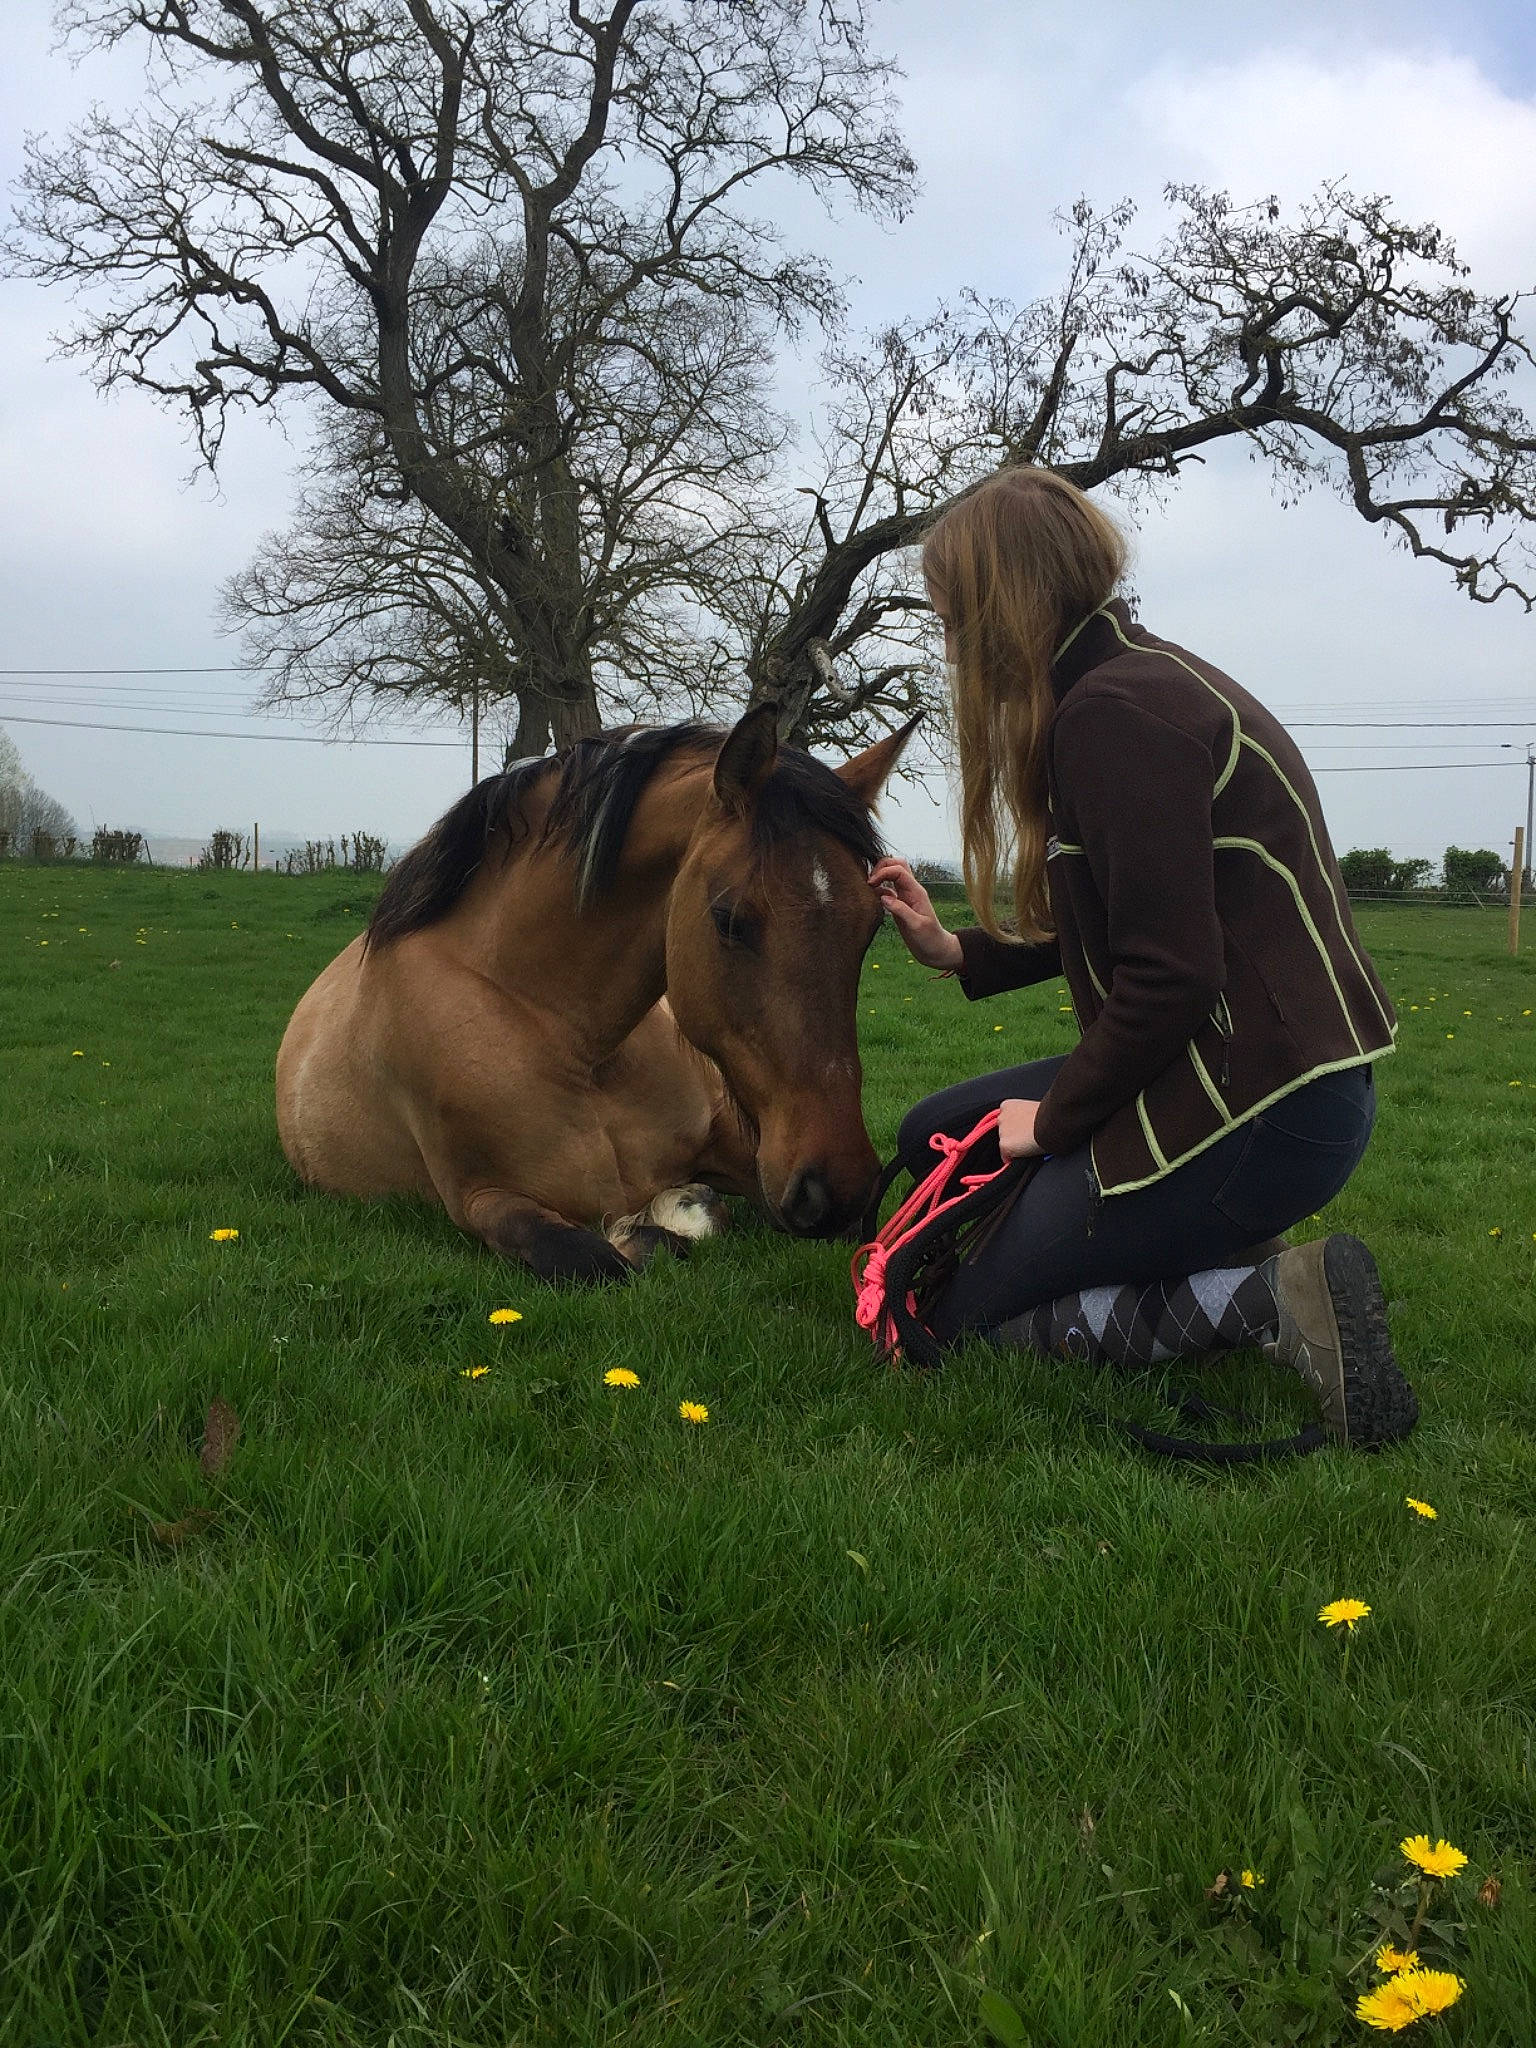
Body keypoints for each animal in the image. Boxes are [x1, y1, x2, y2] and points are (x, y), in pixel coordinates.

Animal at [275, 704, 916, 1282]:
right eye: (730, 919)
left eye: (870, 925)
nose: (839, 1188)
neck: (572, 1041)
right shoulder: (482, 1200)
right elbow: (601, 1257)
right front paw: (657, 1223)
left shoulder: (744, 1151)